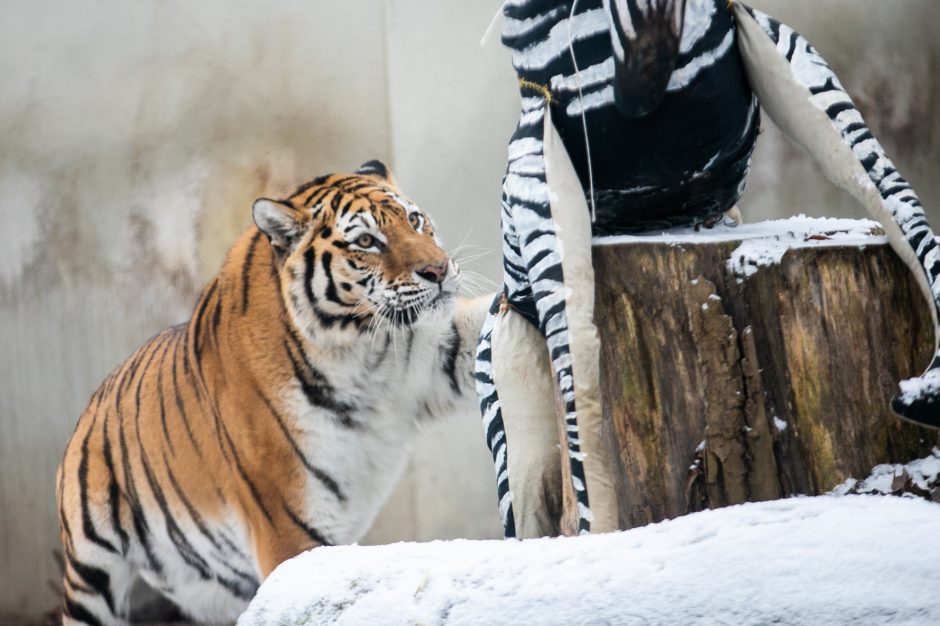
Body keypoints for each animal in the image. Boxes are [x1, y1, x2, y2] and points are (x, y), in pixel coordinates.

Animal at [57, 161, 492, 624]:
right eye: (366, 241)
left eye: (414, 220)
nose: (439, 270)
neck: (364, 350)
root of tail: (92, 403)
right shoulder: (287, 527)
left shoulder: (432, 354)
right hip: (90, 573)